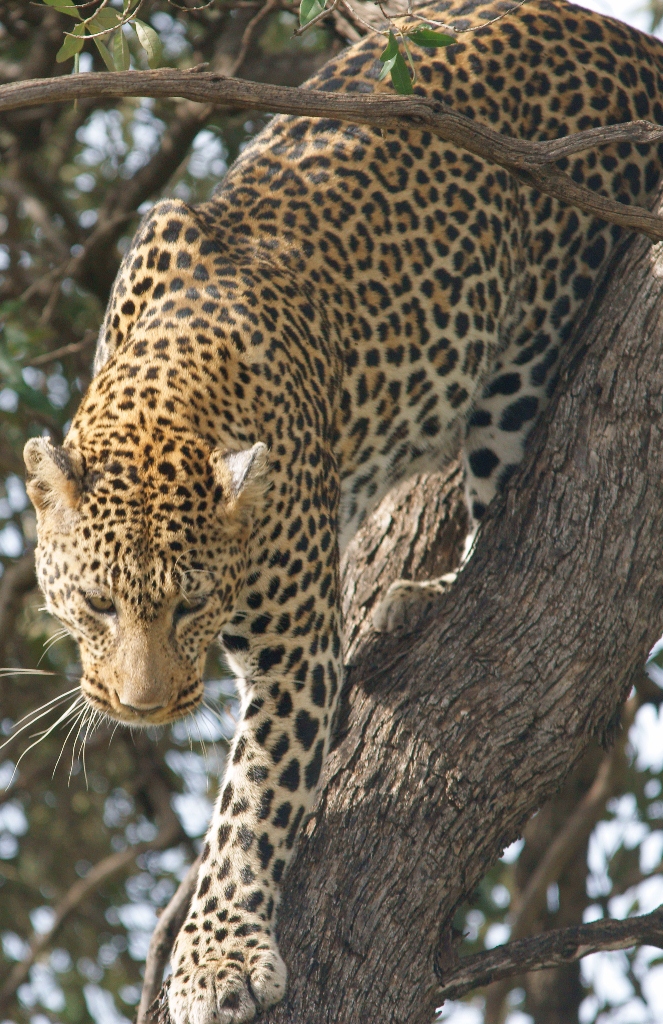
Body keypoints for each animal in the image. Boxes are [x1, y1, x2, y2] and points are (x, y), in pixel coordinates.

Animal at [22, 4, 663, 1019]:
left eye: (190, 604)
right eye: (95, 605)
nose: (144, 707)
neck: (169, 397)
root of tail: (631, 42)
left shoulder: (293, 651)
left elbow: (253, 804)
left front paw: (216, 959)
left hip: (521, 370)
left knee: (505, 501)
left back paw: (415, 601)